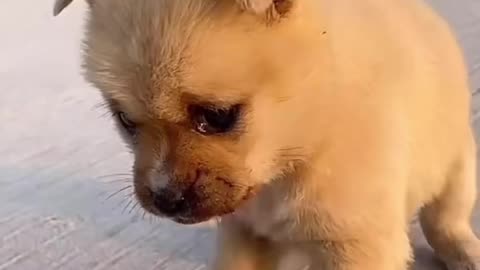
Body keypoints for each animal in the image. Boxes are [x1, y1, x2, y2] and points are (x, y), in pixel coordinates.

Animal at [54, 0, 480, 268]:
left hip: (458, 169)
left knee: (444, 220)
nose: (164, 199)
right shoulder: (245, 234)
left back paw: (464, 251)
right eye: (124, 120)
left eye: (217, 116)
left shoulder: (358, 245)